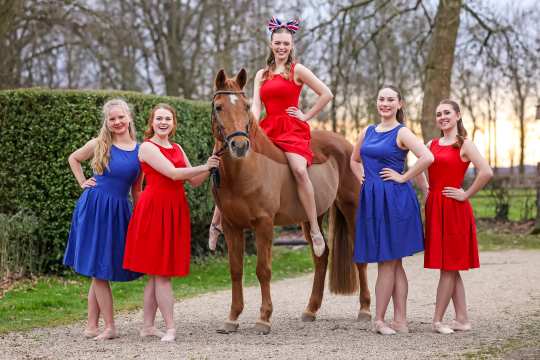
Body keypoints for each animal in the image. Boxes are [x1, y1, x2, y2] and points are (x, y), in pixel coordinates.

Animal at [211, 69, 372, 334]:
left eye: (246, 106)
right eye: (218, 106)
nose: (239, 145)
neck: (245, 170)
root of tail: (346, 145)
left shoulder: (264, 225)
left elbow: (263, 270)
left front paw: (264, 319)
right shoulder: (231, 226)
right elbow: (235, 270)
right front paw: (232, 318)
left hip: (352, 208)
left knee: (358, 257)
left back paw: (365, 309)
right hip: (311, 218)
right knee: (321, 256)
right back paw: (311, 310)